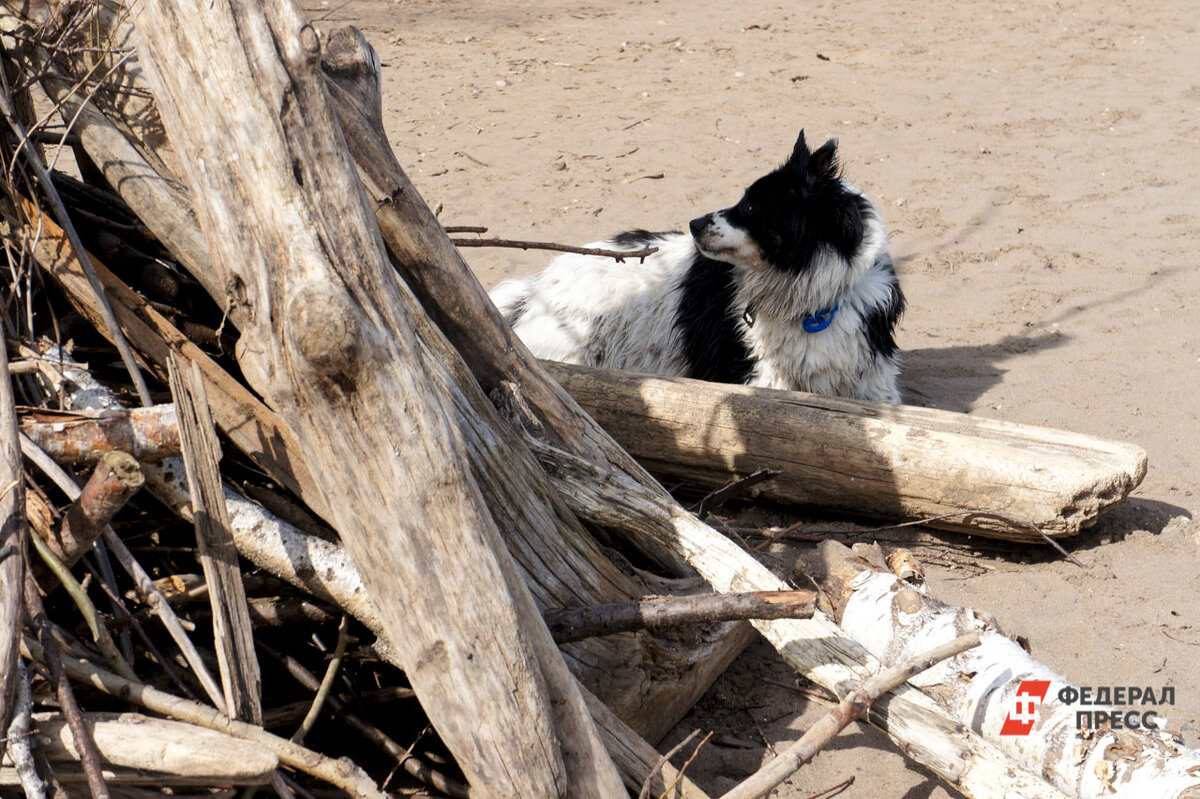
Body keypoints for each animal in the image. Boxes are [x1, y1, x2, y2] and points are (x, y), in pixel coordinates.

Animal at [487, 131, 902, 405]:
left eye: (750, 207)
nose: (693, 223)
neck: (813, 301)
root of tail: (536, 290)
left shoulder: (874, 387)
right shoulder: (766, 382)